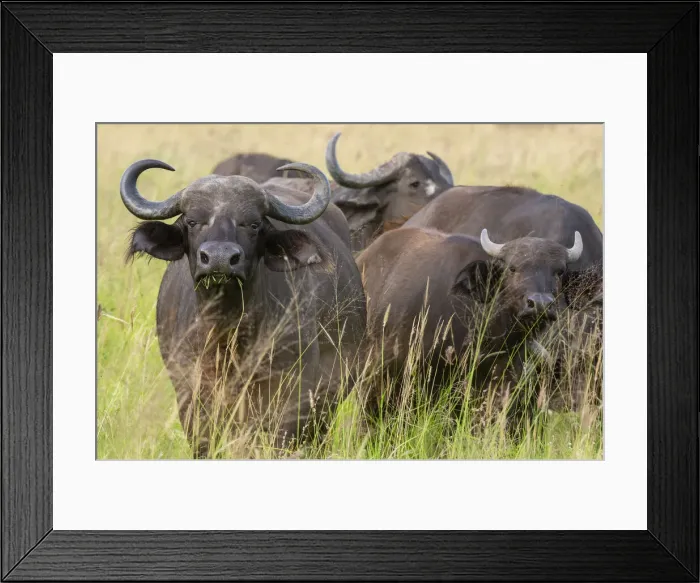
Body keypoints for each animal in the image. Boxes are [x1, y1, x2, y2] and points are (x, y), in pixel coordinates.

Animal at [120, 159, 366, 458]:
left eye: (253, 224)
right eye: (192, 221)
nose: (220, 259)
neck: (229, 335)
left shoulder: (292, 397)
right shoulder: (191, 397)